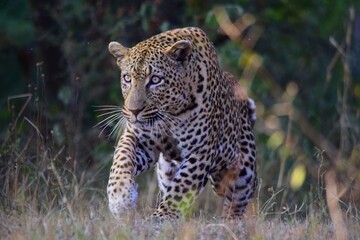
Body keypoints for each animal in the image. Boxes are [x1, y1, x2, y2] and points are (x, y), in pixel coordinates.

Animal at [105, 26, 258, 219]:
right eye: (127, 78)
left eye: (155, 80)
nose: (134, 111)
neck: (171, 113)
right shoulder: (139, 139)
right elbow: (121, 158)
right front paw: (120, 198)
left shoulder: (201, 150)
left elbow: (181, 187)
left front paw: (161, 217)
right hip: (166, 170)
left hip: (243, 170)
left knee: (237, 199)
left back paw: (230, 221)